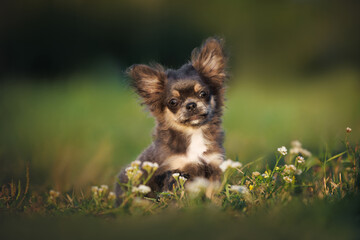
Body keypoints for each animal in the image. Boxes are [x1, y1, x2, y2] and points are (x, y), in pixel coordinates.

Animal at [115, 38, 228, 204]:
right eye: (173, 102)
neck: (194, 133)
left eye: (203, 94)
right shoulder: (175, 172)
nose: (191, 105)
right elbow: (177, 196)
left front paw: (216, 205)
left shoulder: (213, 166)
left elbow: (212, 194)